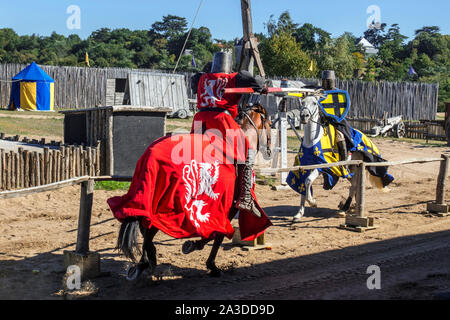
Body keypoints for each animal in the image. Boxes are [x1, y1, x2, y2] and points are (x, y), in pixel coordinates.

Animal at [116, 102, 270, 280]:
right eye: (269, 123)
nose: (269, 150)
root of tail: (150, 154)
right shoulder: (228, 209)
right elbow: (218, 234)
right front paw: (208, 261)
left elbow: (216, 233)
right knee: (149, 229)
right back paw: (148, 261)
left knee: (145, 225)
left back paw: (146, 262)